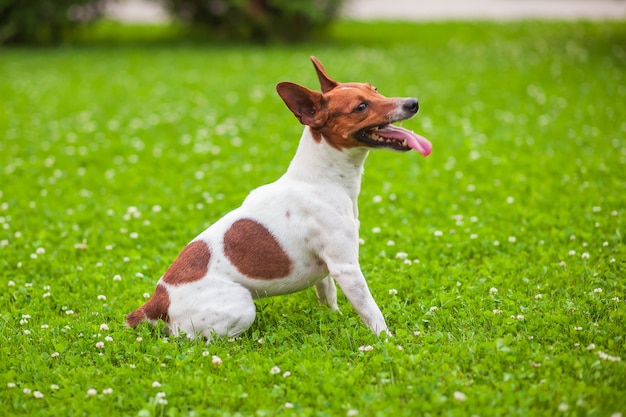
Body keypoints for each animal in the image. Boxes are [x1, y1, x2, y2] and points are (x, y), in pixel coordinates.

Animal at [126, 57, 428, 338]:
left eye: (375, 90)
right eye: (361, 107)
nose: (413, 102)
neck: (322, 179)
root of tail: (156, 302)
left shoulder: (329, 270)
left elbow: (328, 295)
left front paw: (334, 318)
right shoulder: (347, 268)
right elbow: (372, 312)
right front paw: (388, 341)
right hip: (241, 305)